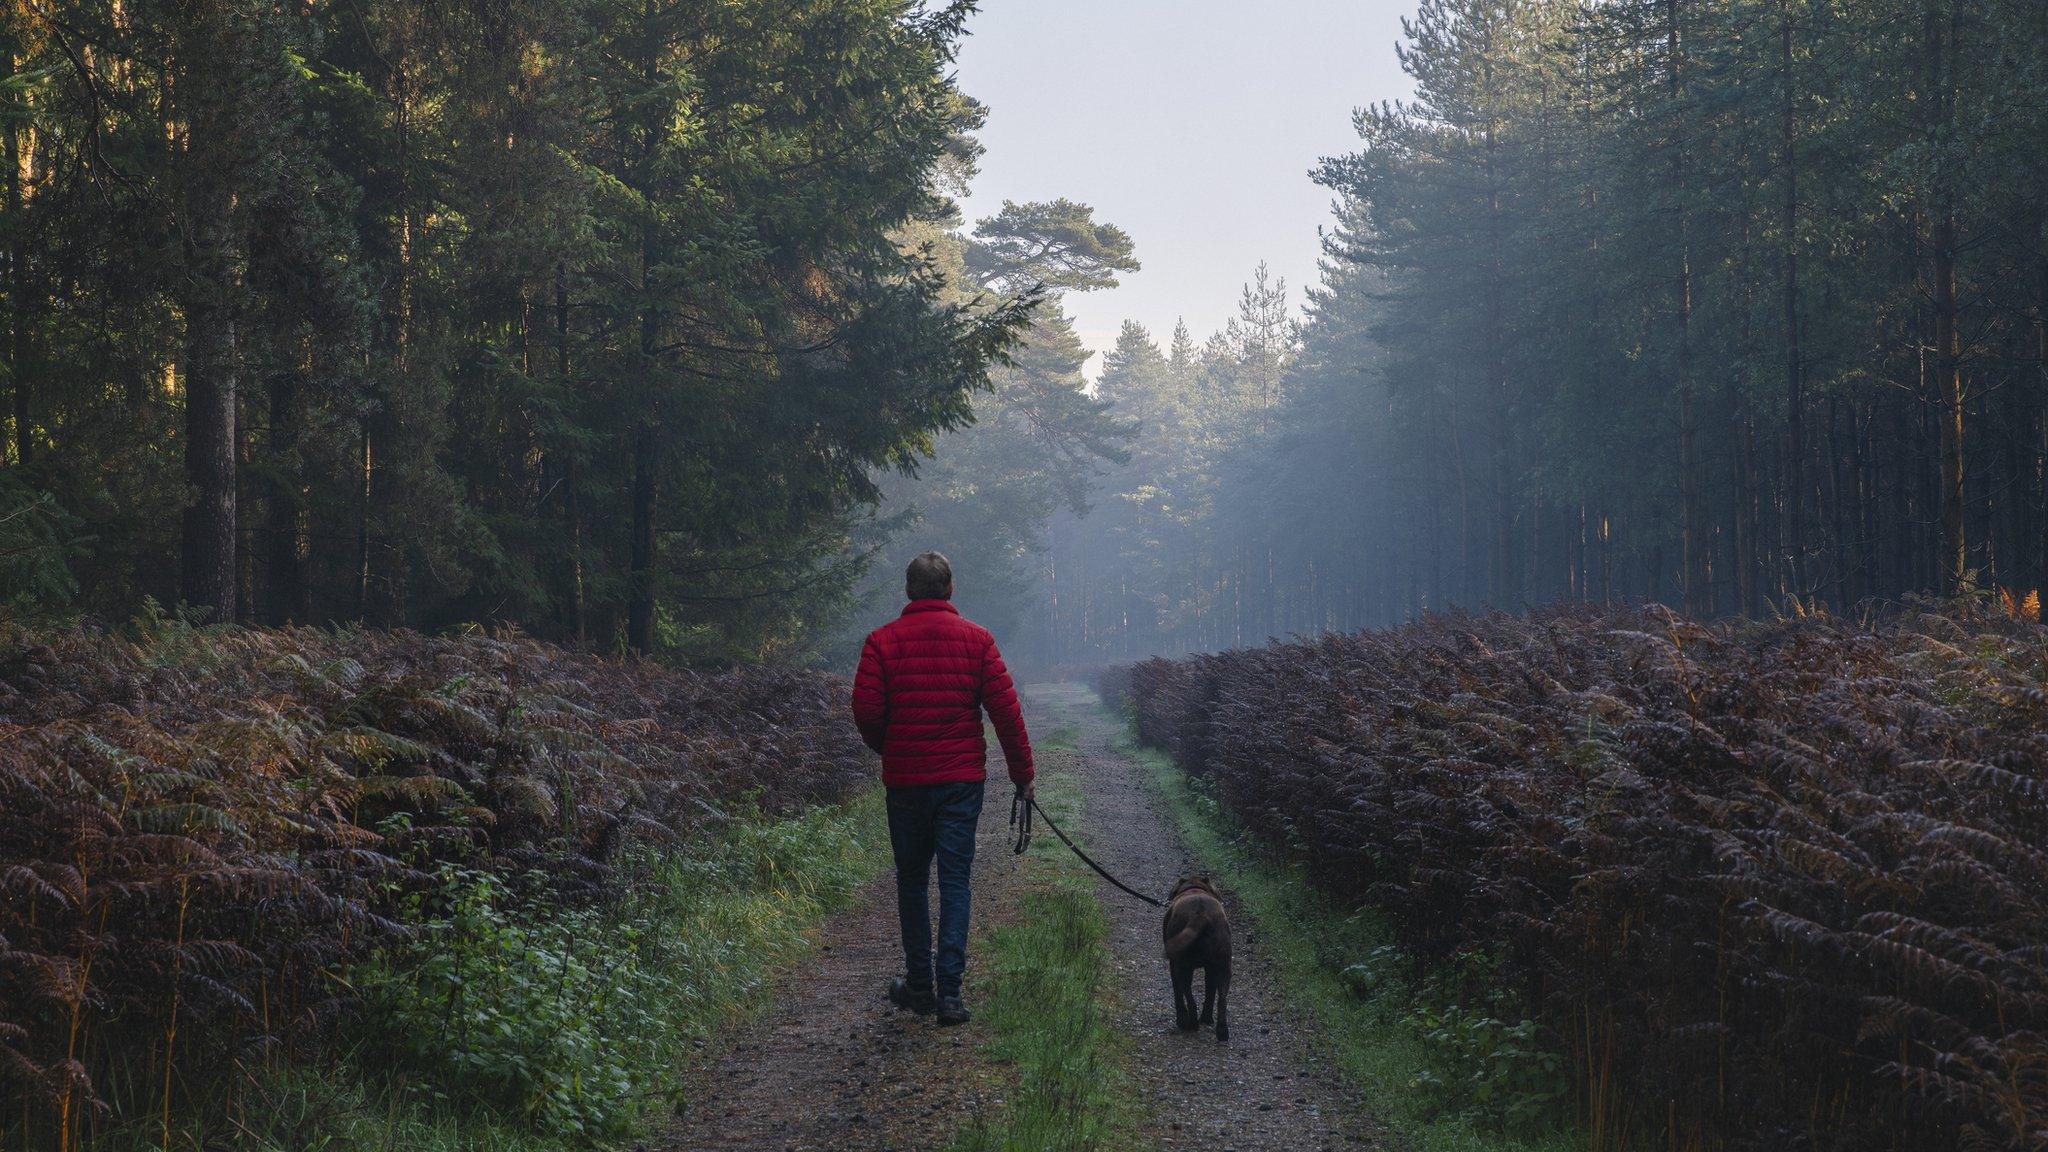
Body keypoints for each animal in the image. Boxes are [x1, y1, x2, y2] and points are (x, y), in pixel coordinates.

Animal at [1171, 869, 1228, 1041]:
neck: (1194, 888)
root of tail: (1200, 914)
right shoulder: (1211, 969)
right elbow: (1210, 992)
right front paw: (1207, 1018)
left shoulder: (1173, 965)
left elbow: (1177, 992)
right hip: (1223, 966)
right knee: (1222, 998)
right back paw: (1221, 1031)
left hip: (1182, 967)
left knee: (1188, 996)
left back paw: (1190, 1023)